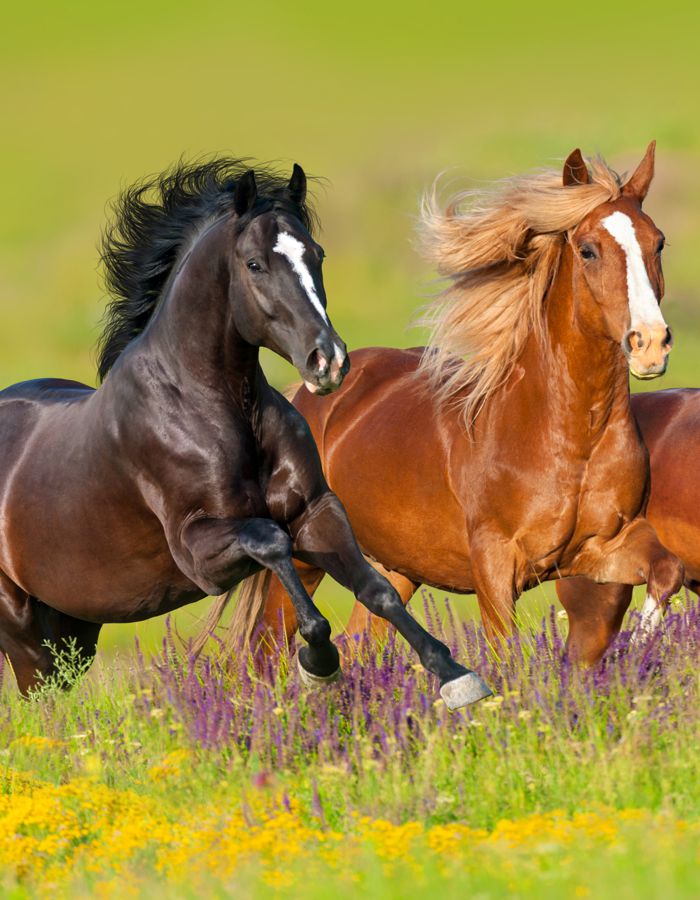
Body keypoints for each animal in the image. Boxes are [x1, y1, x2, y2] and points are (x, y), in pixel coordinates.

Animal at [0, 157, 491, 709]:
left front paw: (456, 675)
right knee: (41, 695)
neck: (214, 409)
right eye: (255, 264)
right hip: (22, 626)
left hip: (75, 625)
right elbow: (271, 541)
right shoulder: (199, 554)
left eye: (317, 254)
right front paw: (319, 662)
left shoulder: (316, 511)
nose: (328, 361)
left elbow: (376, 589)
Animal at [214, 144, 685, 667]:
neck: (569, 436)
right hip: (304, 556)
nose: (650, 344)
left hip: (395, 567)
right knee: (266, 649)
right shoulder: (495, 565)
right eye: (588, 250)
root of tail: (302, 397)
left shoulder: (602, 548)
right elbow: (505, 655)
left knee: (360, 641)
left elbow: (667, 571)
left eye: (658, 242)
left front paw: (635, 653)